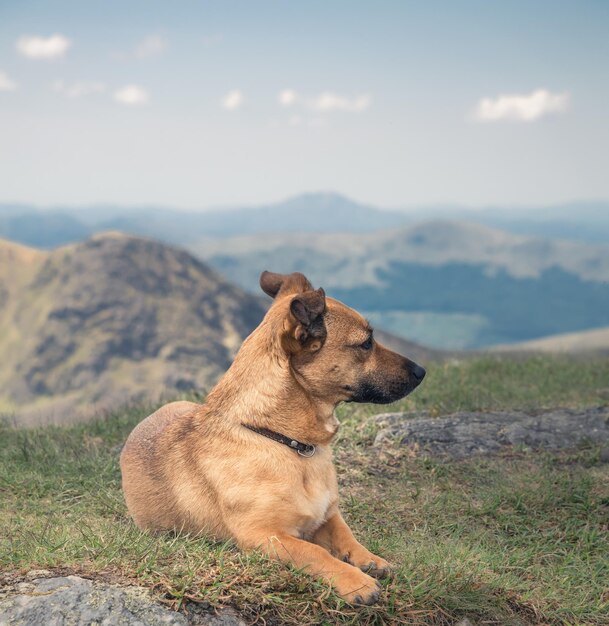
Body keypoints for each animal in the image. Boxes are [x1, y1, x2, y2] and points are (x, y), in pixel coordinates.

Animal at [119, 270, 422, 604]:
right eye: (366, 343)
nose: (422, 371)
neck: (289, 444)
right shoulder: (265, 536)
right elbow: (315, 553)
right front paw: (356, 581)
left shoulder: (328, 514)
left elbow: (346, 534)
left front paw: (369, 559)